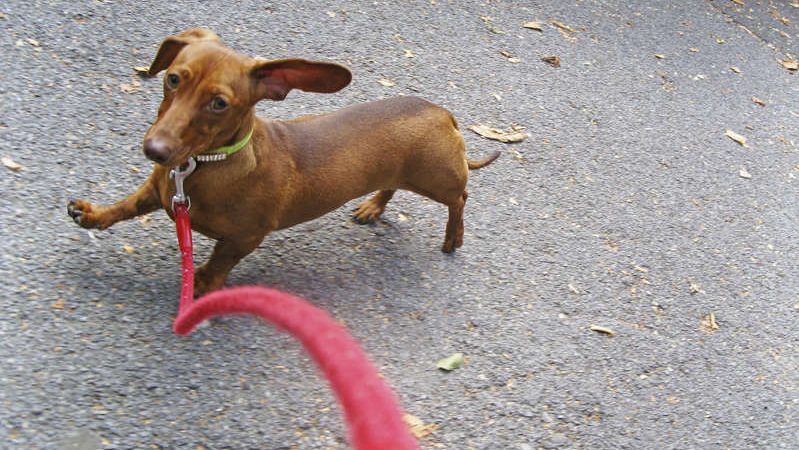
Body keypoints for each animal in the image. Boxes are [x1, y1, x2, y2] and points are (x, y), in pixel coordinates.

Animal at [69, 29, 496, 296]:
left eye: (219, 103)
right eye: (173, 79)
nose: (154, 150)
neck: (204, 166)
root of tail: (444, 113)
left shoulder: (245, 237)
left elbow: (219, 262)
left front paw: (203, 284)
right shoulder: (156, 191)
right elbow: (123, 207)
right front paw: (92, 214)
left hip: (437, 180)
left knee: (461, 199)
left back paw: (453, 237)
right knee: (391, 186)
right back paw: (373, 206)